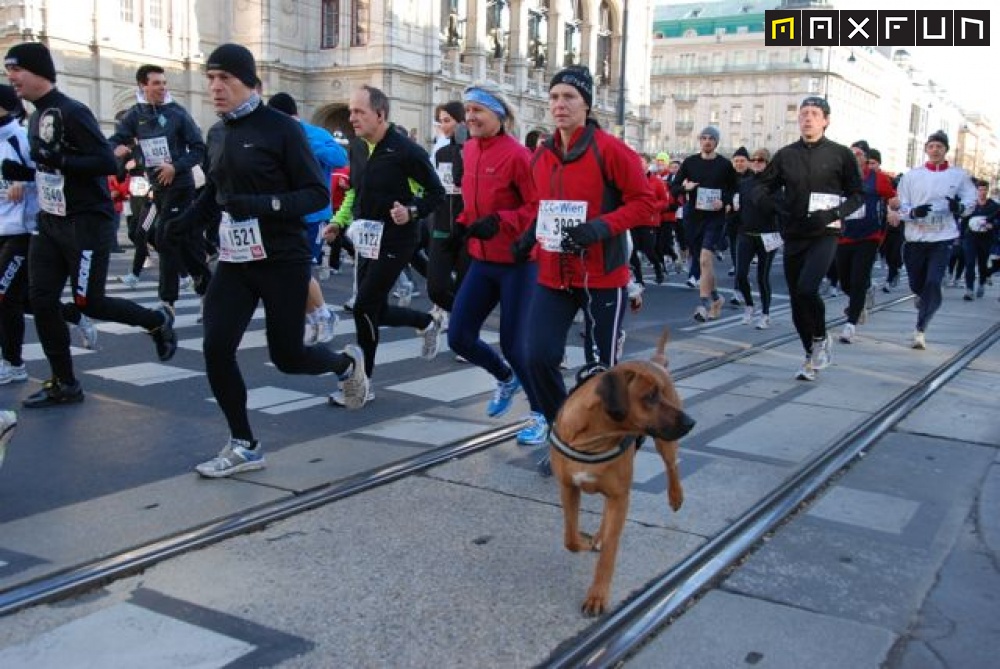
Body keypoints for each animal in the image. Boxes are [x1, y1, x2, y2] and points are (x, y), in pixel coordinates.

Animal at [548, 328, 696, 616]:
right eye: (650, 397)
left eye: (660, 393)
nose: (690, 422)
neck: (593, 439)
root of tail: (654, 361)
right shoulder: (568, 487)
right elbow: (570, 537)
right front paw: (583, 542)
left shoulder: (620, 495)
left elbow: (609, 554)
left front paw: (597, 596)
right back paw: (597, 536)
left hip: (664, 444)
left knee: (672, 465)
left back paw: (676, 496)